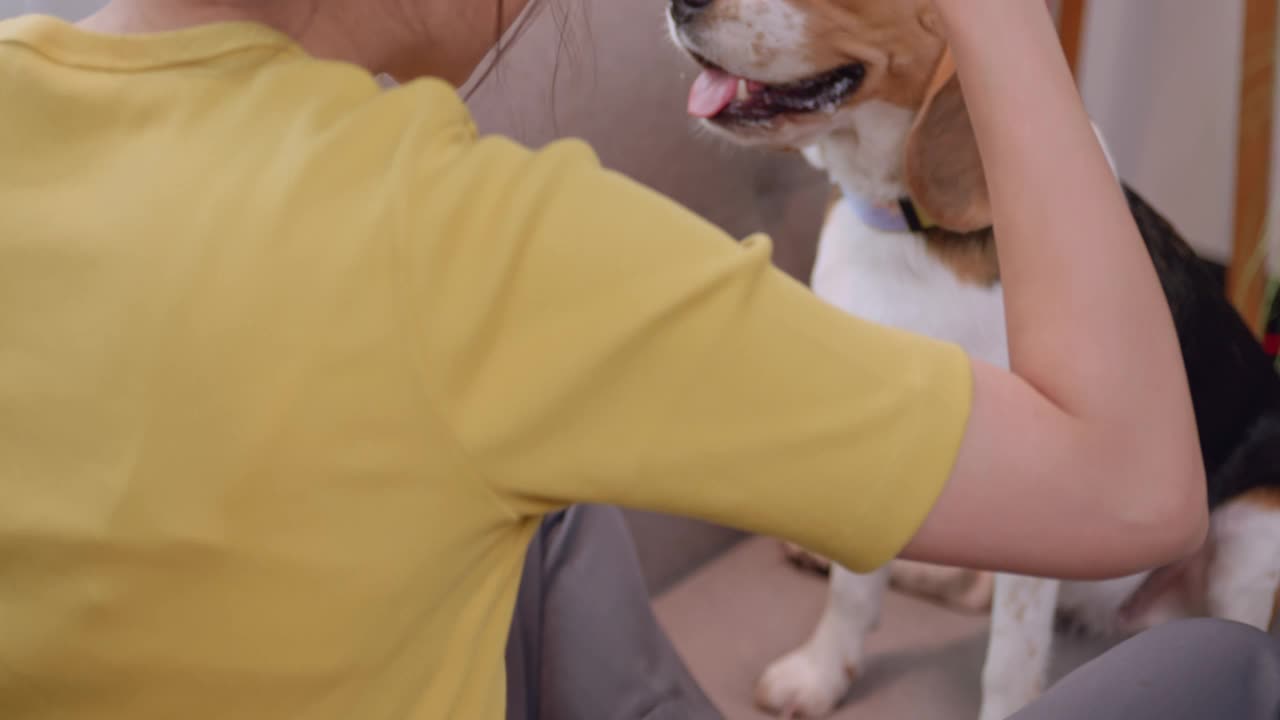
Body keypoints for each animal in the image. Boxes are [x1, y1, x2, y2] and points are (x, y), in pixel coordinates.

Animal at [665, 2, 1280, 712]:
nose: (679, 5)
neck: (908, 232)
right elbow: (852, 594)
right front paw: (819, 674)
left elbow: (1009, 660)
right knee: (964, 585)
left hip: (1253, 530)